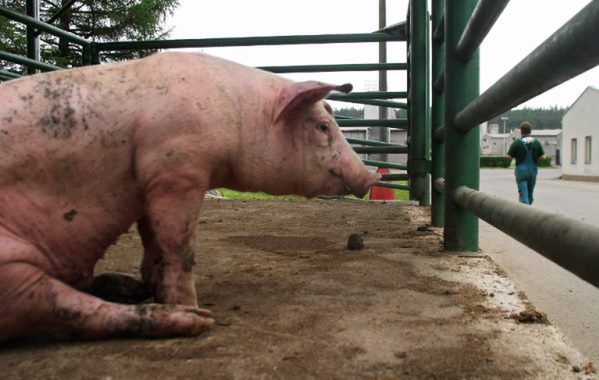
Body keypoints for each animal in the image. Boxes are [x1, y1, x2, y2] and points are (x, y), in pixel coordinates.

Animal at [0, 51, 380, 342]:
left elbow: (153, 243)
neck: (238, 116)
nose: (371, 175)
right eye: (322, 127)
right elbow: (179, 246)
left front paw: (155, 284)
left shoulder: (149, 184)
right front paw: (188, 302)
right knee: (67, 309)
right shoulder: (178, 172)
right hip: (11, 267)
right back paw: (197, 320)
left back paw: (131, 288)